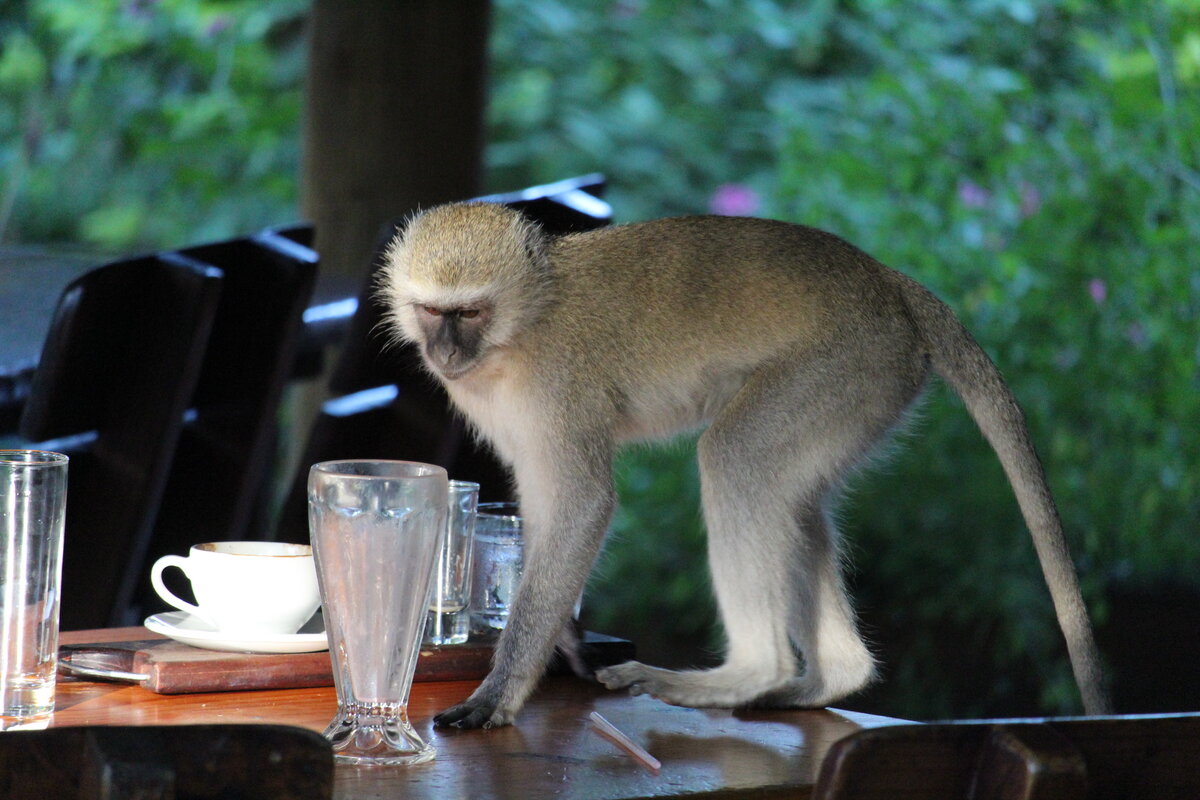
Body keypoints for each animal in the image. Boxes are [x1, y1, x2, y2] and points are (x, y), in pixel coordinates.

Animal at [379, 200, 1108, 724]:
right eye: (431, 311)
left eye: (469, 313)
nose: (445, 352)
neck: (521, 331)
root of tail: (887, 284)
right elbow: (544, 508)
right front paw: (567, 642)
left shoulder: (559, 390)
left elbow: (582, 506)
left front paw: (501, 690)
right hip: (868, 388)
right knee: (797, 501)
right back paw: (825, 678)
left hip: (850, 365)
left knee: (737, 459)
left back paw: (749, 675)